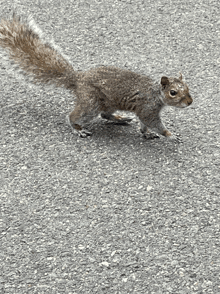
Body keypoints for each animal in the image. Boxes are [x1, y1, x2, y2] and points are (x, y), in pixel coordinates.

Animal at [0, 13, 192, 138]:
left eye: (188, 88)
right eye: (173, 92)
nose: (190, 102)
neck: (155, 93)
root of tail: (78, 79)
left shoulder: (146, 109)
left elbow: (145, 125)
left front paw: (147, 134)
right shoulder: (147, 107)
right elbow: (152, 123)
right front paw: (169, 134)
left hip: (109, 102)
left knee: (105, 115)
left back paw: (119, 118)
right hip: (90, 102)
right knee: (75, 116)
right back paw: (78, 128)